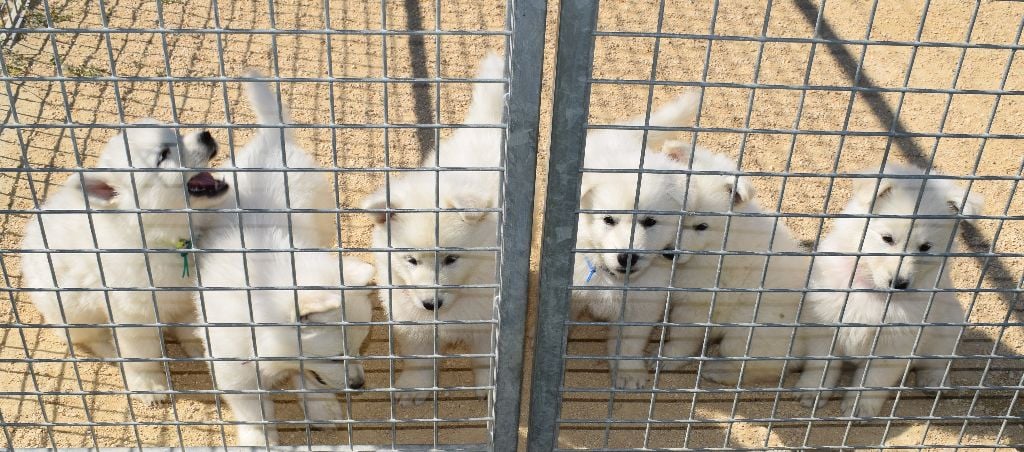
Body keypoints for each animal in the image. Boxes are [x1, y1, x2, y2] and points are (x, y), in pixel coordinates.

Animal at [22, 117, 232, 403]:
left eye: (177, 134)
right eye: (163, 155)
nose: (206, 135)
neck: (163, 239)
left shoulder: (187, 298)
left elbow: (192, 327)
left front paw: (202, 347)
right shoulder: (133, 313)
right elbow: (142, 355)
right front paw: (150, 385)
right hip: (73, 309)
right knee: (89, 336)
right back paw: (111, 350)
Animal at [195, 73, 376, 444]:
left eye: (359, 348)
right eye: (335, 358)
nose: (359, 385)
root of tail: (273, 139)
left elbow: (305, 378)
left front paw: (321, 409)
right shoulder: (234, 369)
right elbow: (254, 412)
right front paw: (259, 440)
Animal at [362, 52, 505, 405]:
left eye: (451, 259)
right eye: (411, 260)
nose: (431, 304)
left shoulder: (486, 318)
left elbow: (485, 358)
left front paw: (487, 389)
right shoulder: (409, 312)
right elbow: (419, 355)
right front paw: (415, 387)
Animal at [794, 165, 978, 416]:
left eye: (925, 247)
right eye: (887, 239)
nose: (899, 284)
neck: (873, 290)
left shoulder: (893, 345)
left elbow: (872, 380)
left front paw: (859, 407)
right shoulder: (825, 324)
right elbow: (821, 364)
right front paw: (813, 392)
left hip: (948, 328)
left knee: (937, 362)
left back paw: (933, 382)